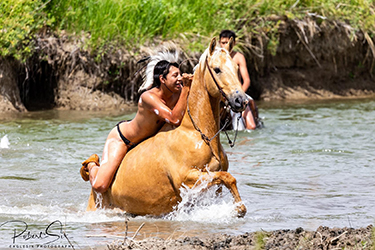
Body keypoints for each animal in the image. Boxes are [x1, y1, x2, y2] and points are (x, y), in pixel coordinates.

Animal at [88, 37, 250, 217]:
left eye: (237, 68)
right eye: (217, 69)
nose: (241, 101)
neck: (197, 133)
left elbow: (226, 179)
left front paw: (238, 209)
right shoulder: (186, 178)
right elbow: (228, 177)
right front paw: (239, 209)